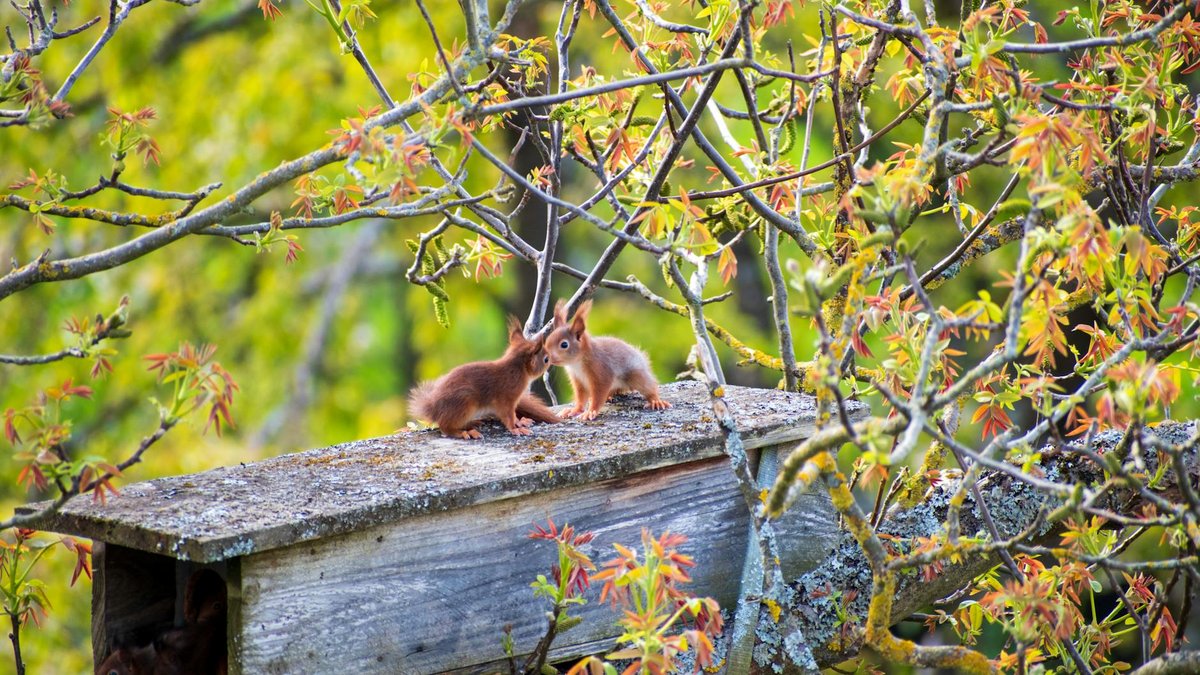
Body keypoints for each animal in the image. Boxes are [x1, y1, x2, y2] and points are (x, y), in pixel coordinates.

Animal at [409, 317, 560, 439]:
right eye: (546, 359)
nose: (554, 360)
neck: (517, 369)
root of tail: (434, 408)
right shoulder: (506, 399)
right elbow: (508, 417)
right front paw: (516, 429)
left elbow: (514, 416)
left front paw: (521, 422)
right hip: (464, 403)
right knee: (445, 427)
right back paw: (465, 432)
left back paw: (472, 423)